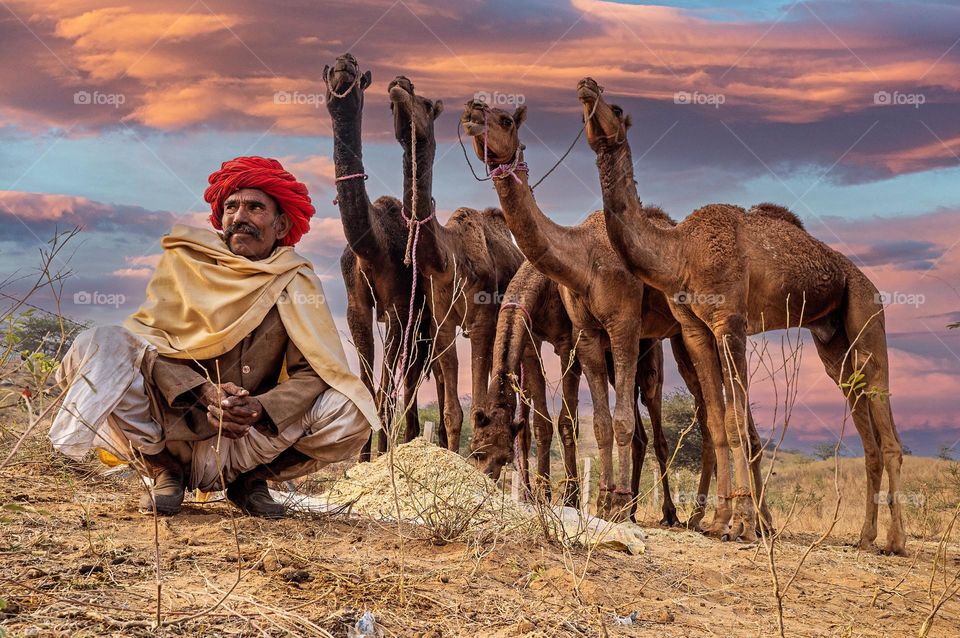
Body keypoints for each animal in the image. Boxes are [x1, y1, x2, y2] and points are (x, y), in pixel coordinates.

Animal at [324, 53, 432, 458]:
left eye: (355, 71)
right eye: (331, 70)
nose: (345, 61)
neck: (372, 246)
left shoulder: (400, 307)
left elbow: (385, 391)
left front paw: (381, 458)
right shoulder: (356, 305)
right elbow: (367, 386)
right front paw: (362, 459)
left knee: (415, 380)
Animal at [388, 77, 524, 453]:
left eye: (422, 102)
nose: (398, 84)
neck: (448, 258)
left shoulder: (481, 321)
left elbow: (478, 405)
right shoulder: (442, 325)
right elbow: (451, 412)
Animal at [470, 260, 582, 506]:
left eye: (506, 458)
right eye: (476, 452)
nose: (486, 481)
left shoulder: (568, 343)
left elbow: (567, 421)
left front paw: (571, 498)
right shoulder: (531, 342)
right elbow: (540, 423)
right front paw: (541, 496)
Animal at [577, 77, 906, 554]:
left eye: (616, 107)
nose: (587, 86)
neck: (679, 252)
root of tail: (866, 281)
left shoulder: (729, 322)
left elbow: (734, 421)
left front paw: (743, 525)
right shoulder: (695, 328)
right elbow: (716, 422)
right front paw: (719, 521)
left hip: (866, 312)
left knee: (885, 413)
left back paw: (896, 541)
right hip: (832, 340)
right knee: (864, 421)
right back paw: (865, 537)